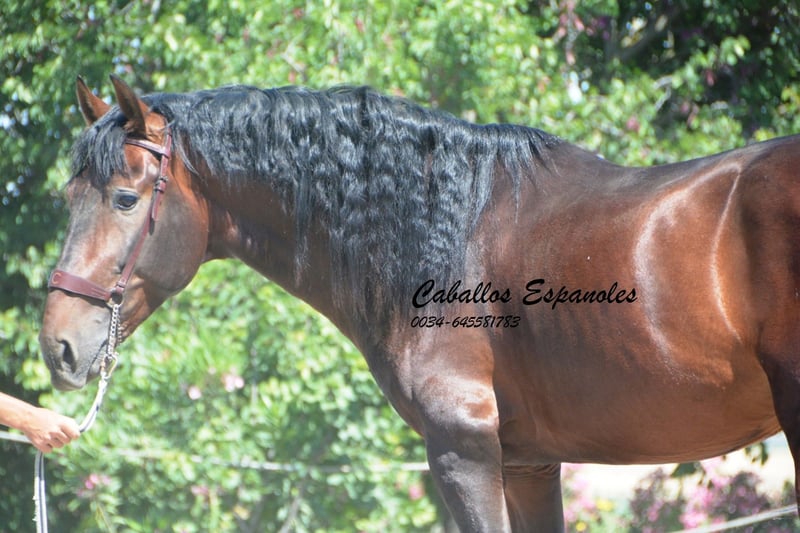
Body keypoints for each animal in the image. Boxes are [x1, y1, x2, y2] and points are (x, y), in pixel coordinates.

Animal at [39, 75, 800, 532]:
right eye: (68, 197)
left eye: (125, 199)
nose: (57, 345)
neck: (447, 230)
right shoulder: (528, 463)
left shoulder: (464, 450)